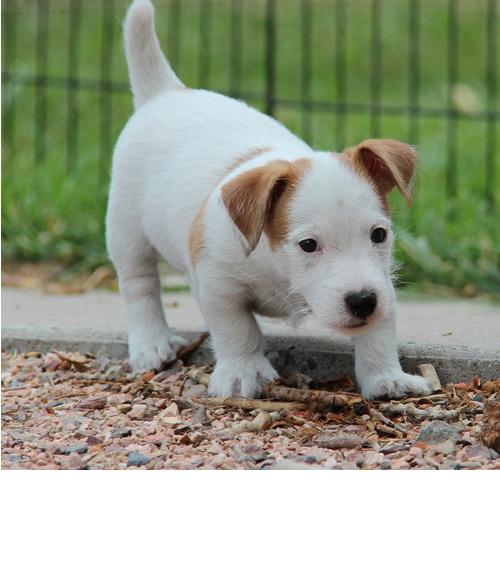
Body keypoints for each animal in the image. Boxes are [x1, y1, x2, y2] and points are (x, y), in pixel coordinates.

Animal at [107, 0, 432, 402]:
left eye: (378, 235)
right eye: (308, 245)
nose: (362, 301)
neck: (277, 268)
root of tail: (167, 93)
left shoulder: (381, 281)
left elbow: (379, 332)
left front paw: (387, 377)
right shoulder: (219, 285)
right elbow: (237, 330)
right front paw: (242, 372)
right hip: (126, 229)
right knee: (139, 285)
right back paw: (151, 343)